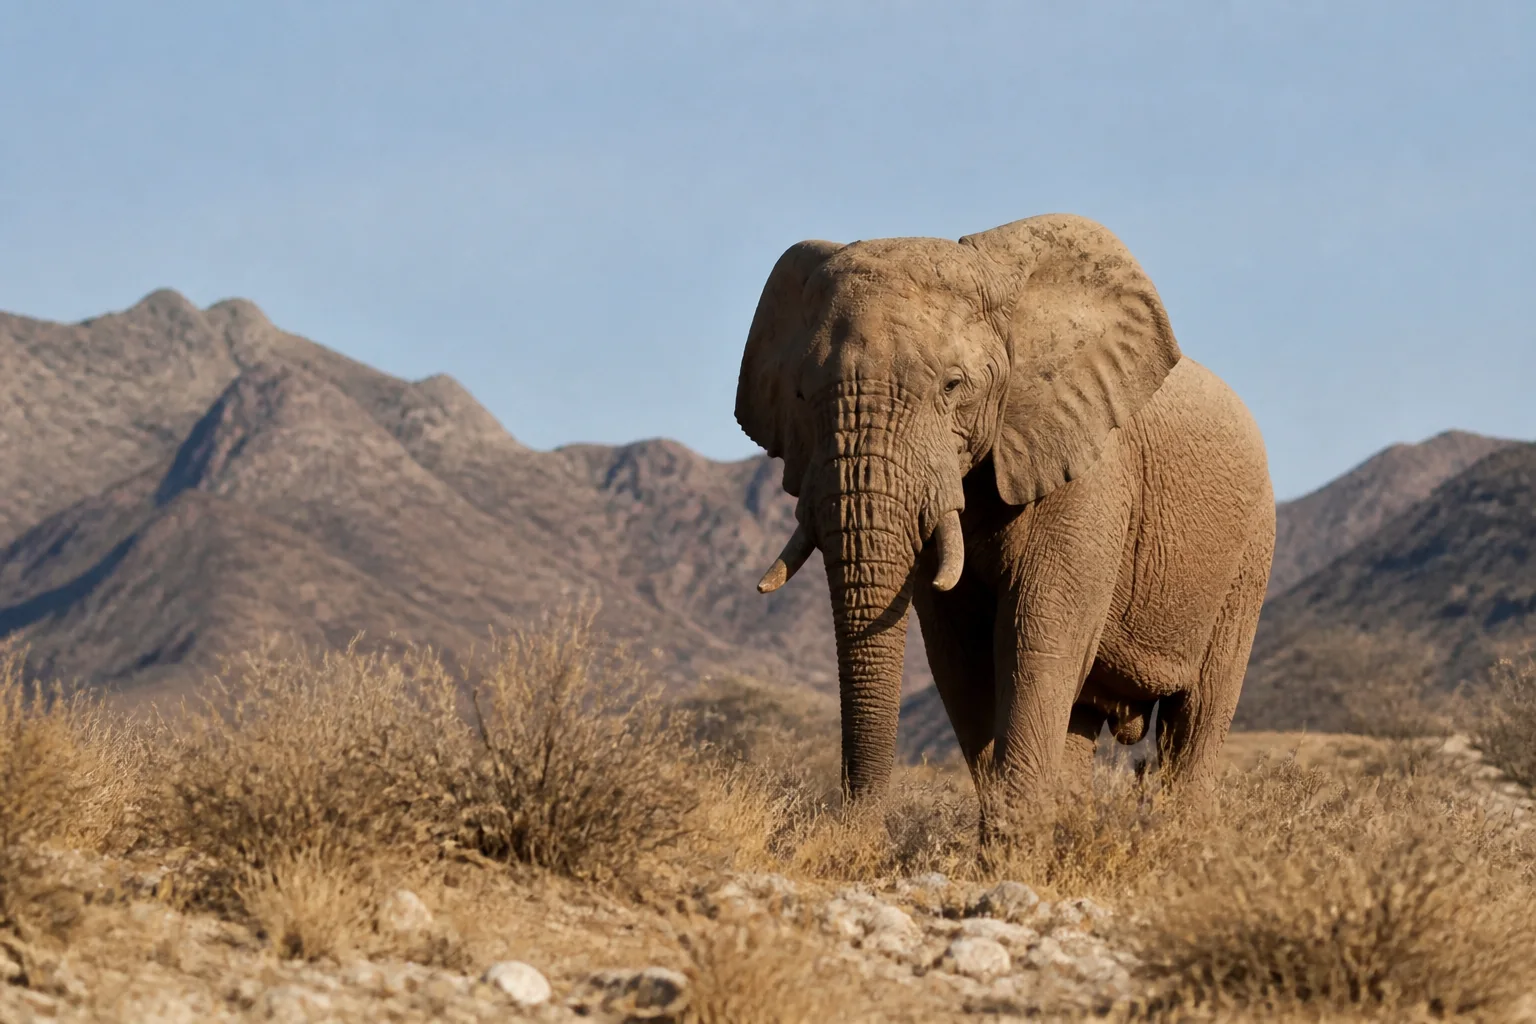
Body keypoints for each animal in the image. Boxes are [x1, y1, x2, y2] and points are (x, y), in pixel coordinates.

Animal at [734, 213, 1275, 832]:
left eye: (952, 386)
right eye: (801, 394)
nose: (856, 832)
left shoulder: (1089, 472)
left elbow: (1035, 643)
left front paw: (1010, 846)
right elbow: (962, 662)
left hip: (1249, 554)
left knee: (1199, 715)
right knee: (1081, 718)